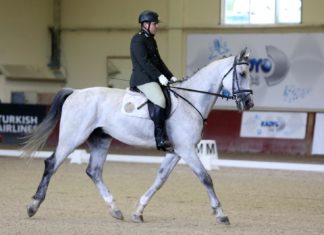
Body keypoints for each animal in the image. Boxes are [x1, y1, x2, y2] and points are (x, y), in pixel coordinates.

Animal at [24, 47, 254, 224]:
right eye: (242, 74)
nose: (249, 104)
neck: (191, 101)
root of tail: (76, 92)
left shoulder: (177, 151)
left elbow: (160, 179)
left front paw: (138, 212)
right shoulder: (187, 149)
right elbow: (205, 178)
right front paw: (221, 214)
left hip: (100, 139)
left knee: (94, 171)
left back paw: (116, 210)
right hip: (72, 138)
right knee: (51, 164)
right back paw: (33, 206)